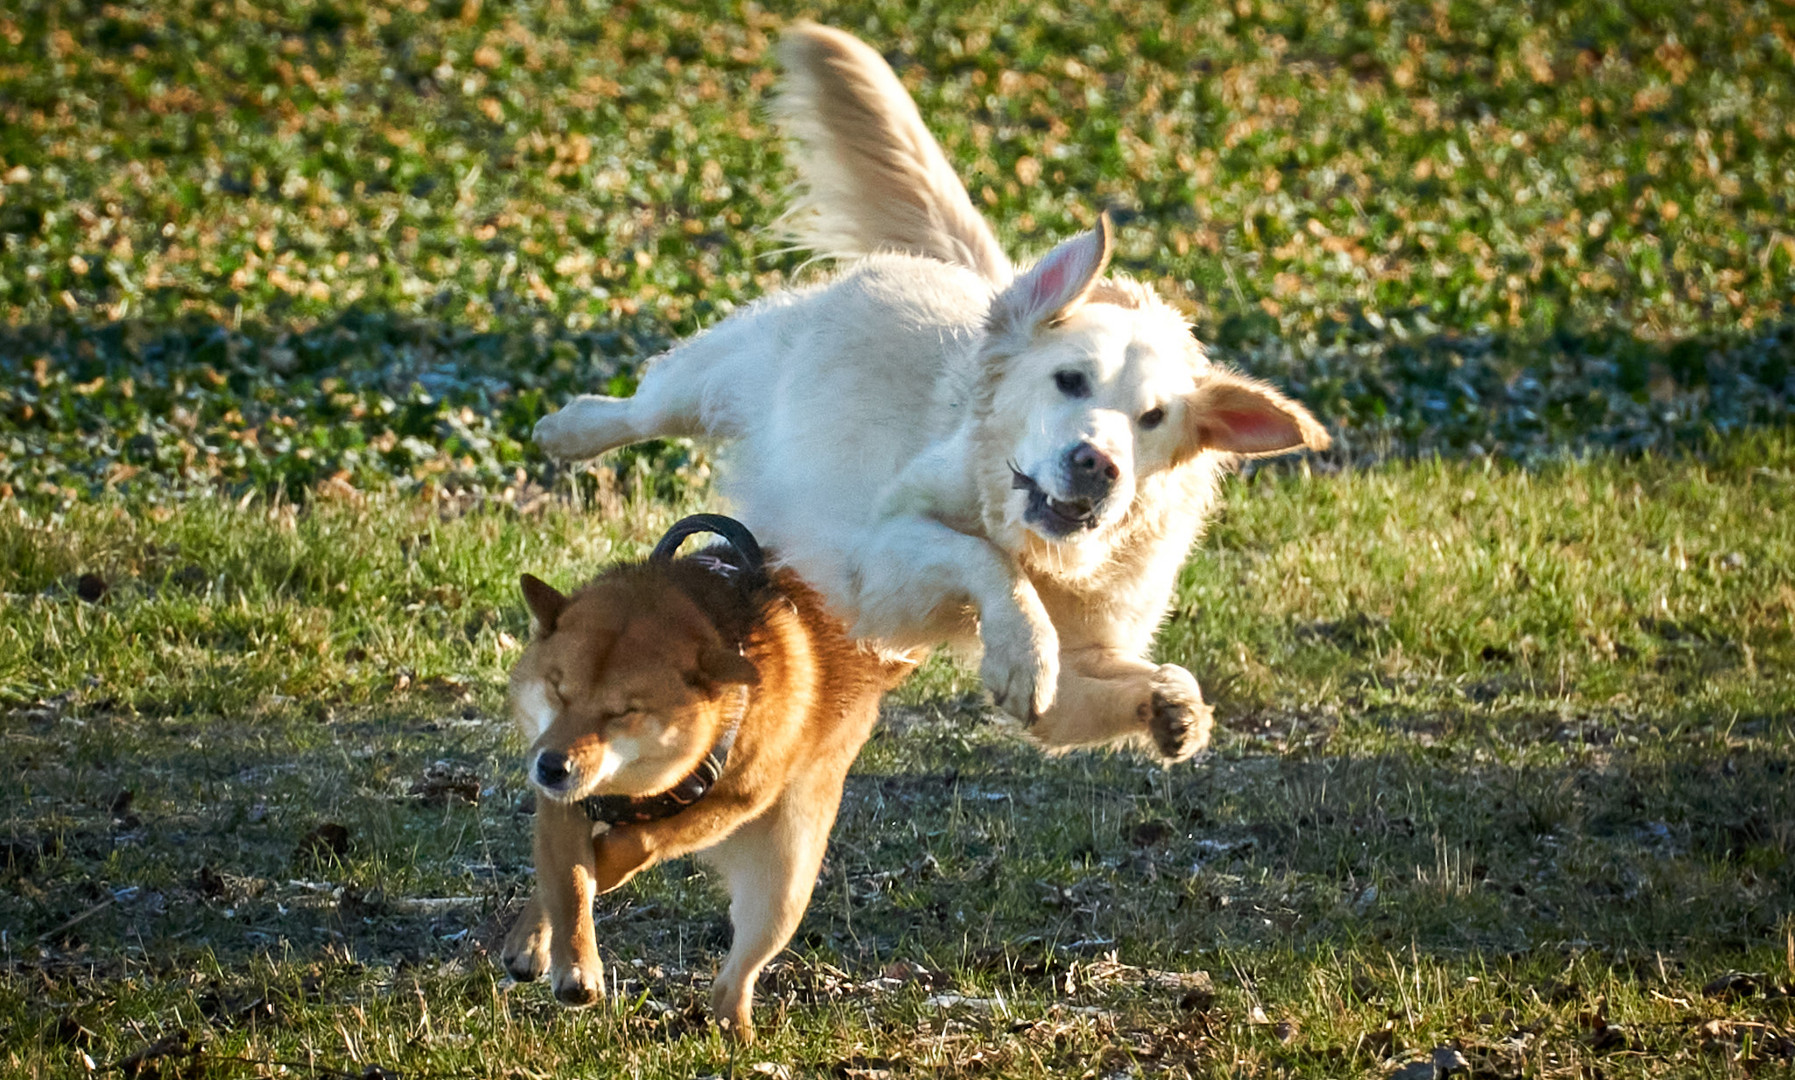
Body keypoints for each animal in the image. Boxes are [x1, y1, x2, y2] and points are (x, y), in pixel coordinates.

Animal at [499, 513, 911, 1033]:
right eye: (558, 690)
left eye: (624, 712)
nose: (551, 765)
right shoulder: (562, 803)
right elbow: (568, 881)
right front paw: (566, 959)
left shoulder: (731, 801)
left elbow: (629, 846)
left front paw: (604, 860)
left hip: (782, 887)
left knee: (735, 978)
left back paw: (737, 1032)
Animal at [527, 23, 1321, 757]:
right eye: (1070, 379)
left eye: (1152, 417)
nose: (1097, 465)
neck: (1048, 551)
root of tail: (974, 279)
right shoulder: (878, 558)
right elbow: (985, 561)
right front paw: (1024, 652)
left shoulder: (1090, 653)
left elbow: (1116, 681)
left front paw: (1172, 705)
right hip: (721, 373)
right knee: (643, 404)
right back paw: (565, 430)